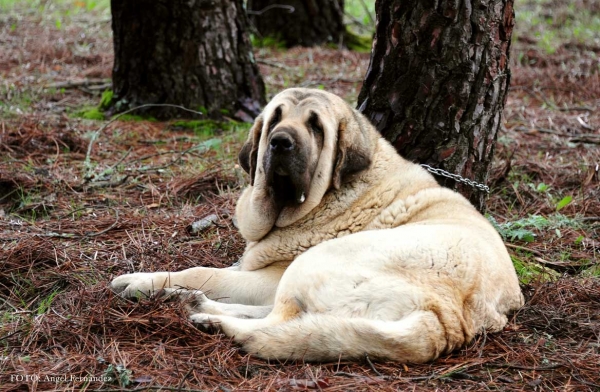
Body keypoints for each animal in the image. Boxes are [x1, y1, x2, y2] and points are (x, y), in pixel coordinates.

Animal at [110, 87, 524, 362]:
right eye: (275, 119)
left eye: (316, 127)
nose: (279, 142)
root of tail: (450, 317)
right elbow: (220, 270)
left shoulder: (269, 277)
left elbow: (202, 271)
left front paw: (140, 282)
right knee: (289, 319)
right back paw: (196, 305)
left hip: (314, 261)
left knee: (277, 322)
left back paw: (213, 320)